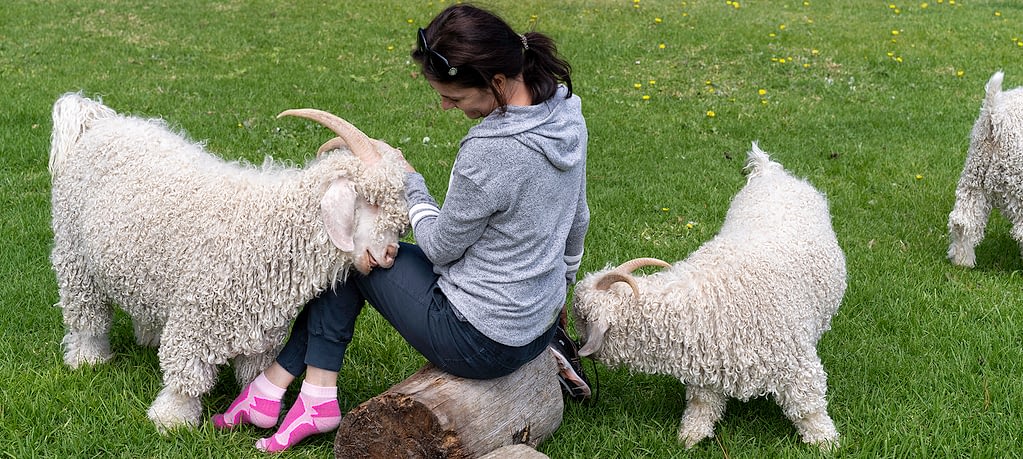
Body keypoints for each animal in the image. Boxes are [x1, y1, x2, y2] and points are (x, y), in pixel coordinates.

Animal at [48, 93, 407, 429]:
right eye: (371, 202)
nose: (389, 255)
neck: (272, 227)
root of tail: (95, 121)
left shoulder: (261, 331)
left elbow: (254, 372)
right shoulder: (196, 315)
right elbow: (186, 375)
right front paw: (172, 419)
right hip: (74, 254)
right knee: (86, 316)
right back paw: (88, 358)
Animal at [572, 144, 842, 449]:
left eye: (582, 319)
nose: (577, 345)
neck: (706, 301)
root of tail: (769, 172)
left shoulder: (795, 364)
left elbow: (809, 408)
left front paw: (826, 443)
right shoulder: (709, 367)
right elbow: (702, 405)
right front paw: (689, 438)